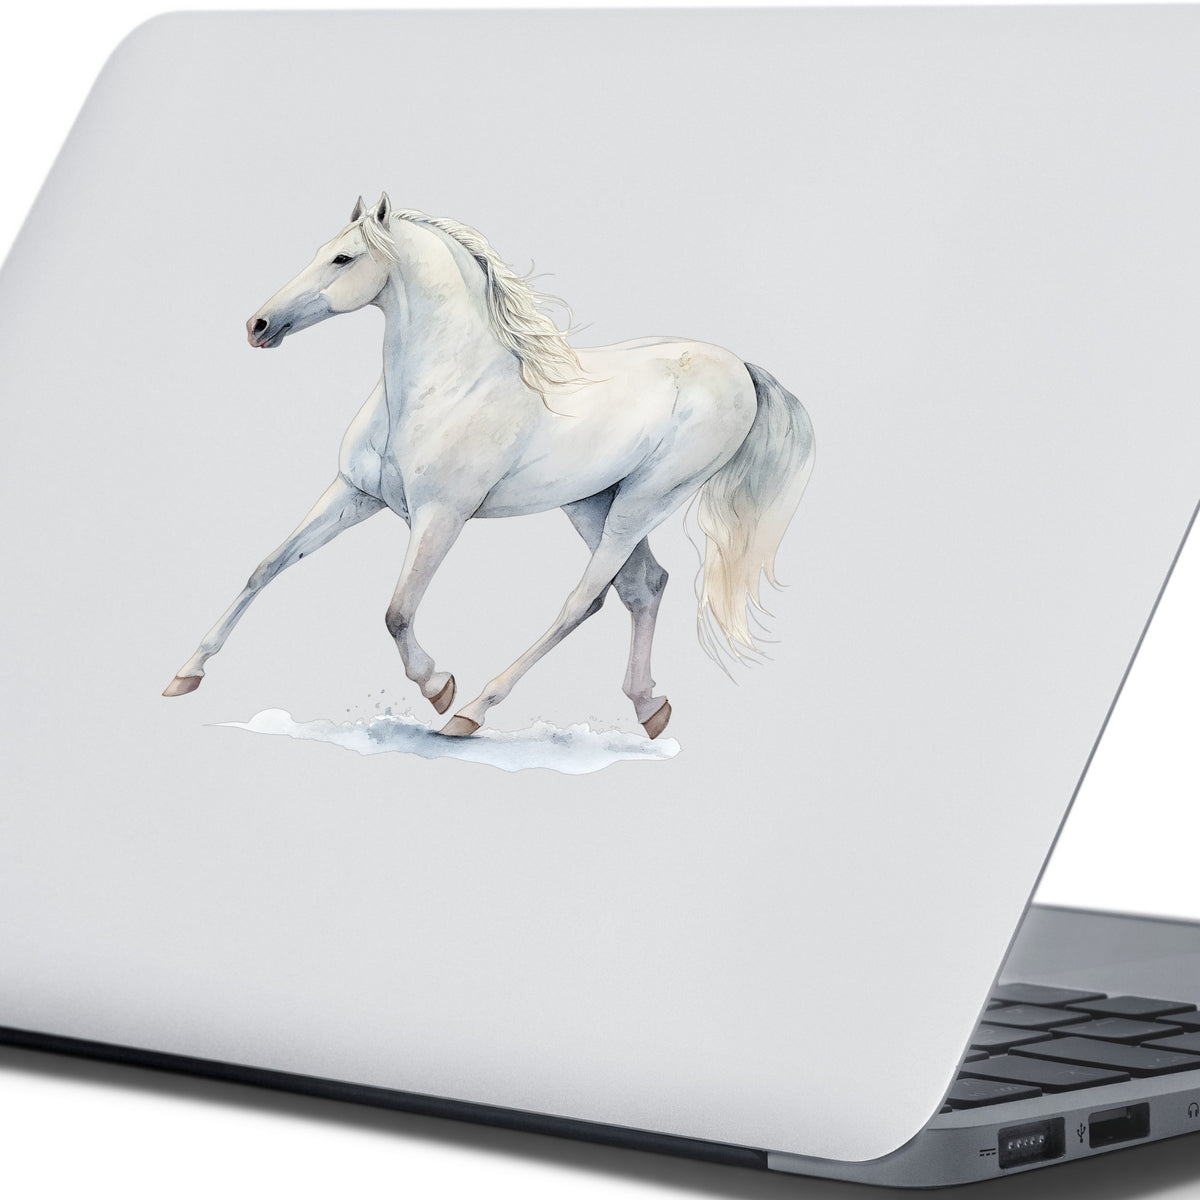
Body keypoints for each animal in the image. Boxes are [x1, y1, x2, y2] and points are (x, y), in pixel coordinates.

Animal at [163, 194, 815, 740]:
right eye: (317, 252)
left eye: (343, 258)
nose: (258, 326)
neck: (443, 386)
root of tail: (739, 367)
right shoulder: (354, 494)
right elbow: (267, 566)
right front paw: (185, 674)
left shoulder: (440, 516)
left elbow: (397, 611)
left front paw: (438, 687)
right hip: (592, 502)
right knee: (643, 586)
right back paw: (649, 708)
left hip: (644, 501)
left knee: (584, 600)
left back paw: (473, 711)